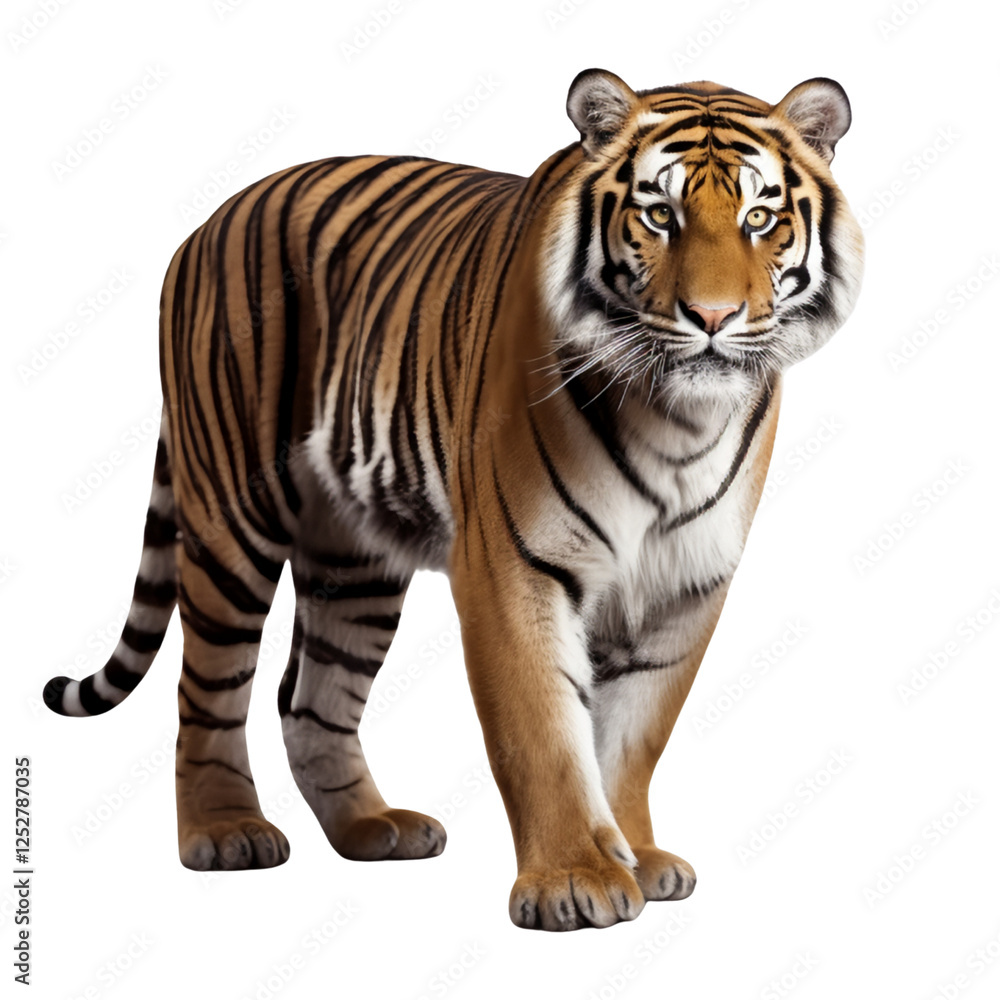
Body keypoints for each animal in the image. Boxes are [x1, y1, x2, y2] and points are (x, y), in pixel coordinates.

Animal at [43, 68, 863, 931]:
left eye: (760, 218)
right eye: (659, 214)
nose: (712, 318)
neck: (679, 422)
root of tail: (204, 225)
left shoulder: (686, 586)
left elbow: (635, 734)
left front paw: (637, 856)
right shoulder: (514, 565)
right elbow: (541, 730)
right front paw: (574, 880)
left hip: (354, 561)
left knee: (310, 699)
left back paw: (372, 828)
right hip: (233, 516)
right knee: (207, 687)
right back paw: (225, 831)